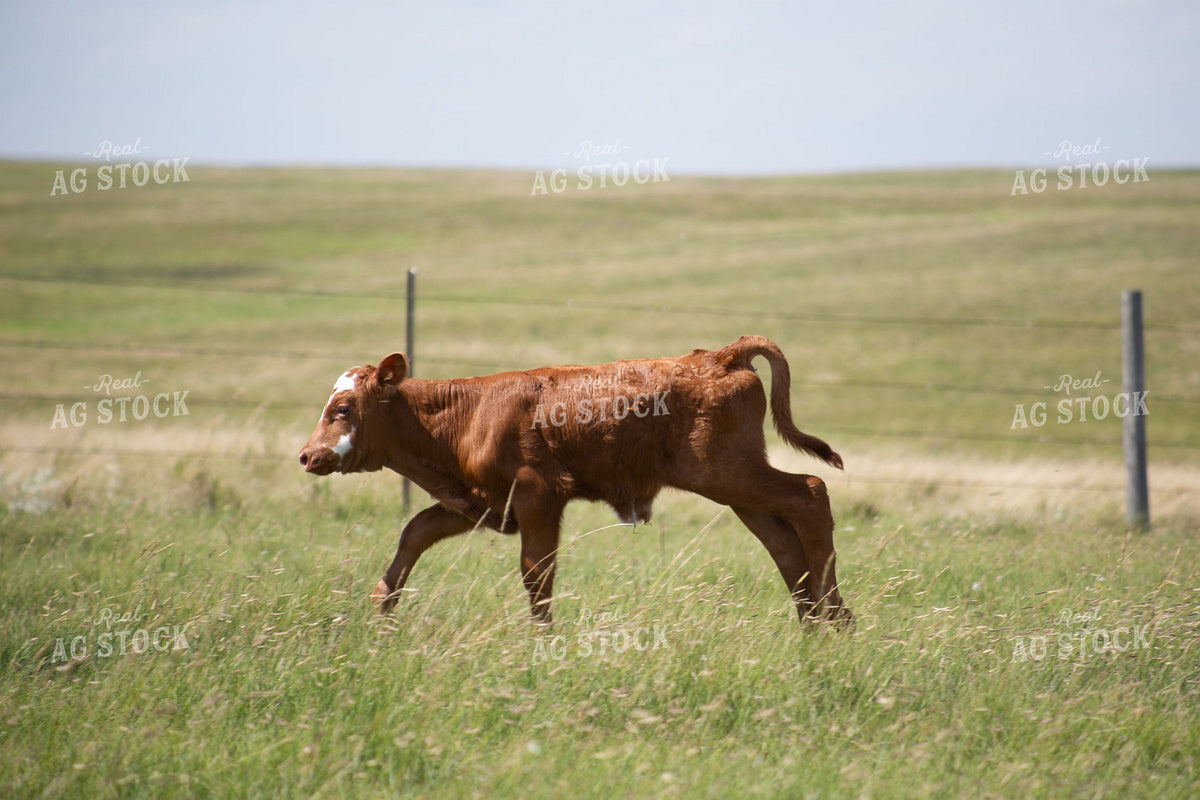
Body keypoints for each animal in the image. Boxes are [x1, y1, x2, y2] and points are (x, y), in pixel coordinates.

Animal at [298, 335, 852, 627]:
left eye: (342, 408)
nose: (307, 456)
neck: (467, 414)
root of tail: (718, 356)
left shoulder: (538, 495)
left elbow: (536, 573)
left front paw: (544, 640)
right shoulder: (479, 503)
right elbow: (413, 532)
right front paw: (383, 606)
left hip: (729, 475)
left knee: (810, 495)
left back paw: (835, 618)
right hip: (738, 487)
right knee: (783, 542)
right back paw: (815, 621)